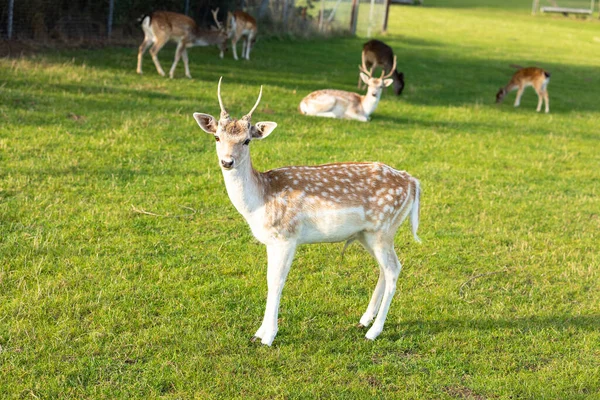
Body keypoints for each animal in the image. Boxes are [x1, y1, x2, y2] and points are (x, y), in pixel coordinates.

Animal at [193, 79, 422, 346]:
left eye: (247, 140)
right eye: (217, 137)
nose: (227, 162)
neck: (260, 201)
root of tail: (412, 181)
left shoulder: (287, 237)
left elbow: (277, 282)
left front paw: (268, 336)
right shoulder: (271, 241)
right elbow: (268, 280)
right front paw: (259, 332)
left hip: (384, 228)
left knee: (394, 269)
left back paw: (373, 331)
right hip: (368, 234)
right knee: (385, 269)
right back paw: (365, 320)